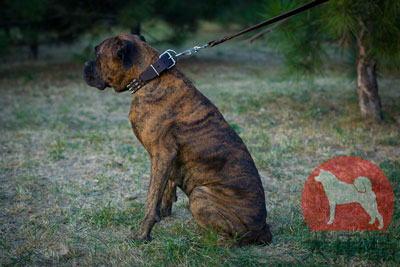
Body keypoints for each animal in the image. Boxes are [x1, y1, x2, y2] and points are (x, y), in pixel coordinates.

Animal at [83, 34, 274, 247]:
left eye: (97, 54)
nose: (85, 65)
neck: (150, 77)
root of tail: (263, 229)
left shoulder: (162, 155)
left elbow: (151, 199)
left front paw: (143, 234)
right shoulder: (167, 159)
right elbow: (166, 188)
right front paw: (163, 214)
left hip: (200, 195)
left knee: (229, 240)